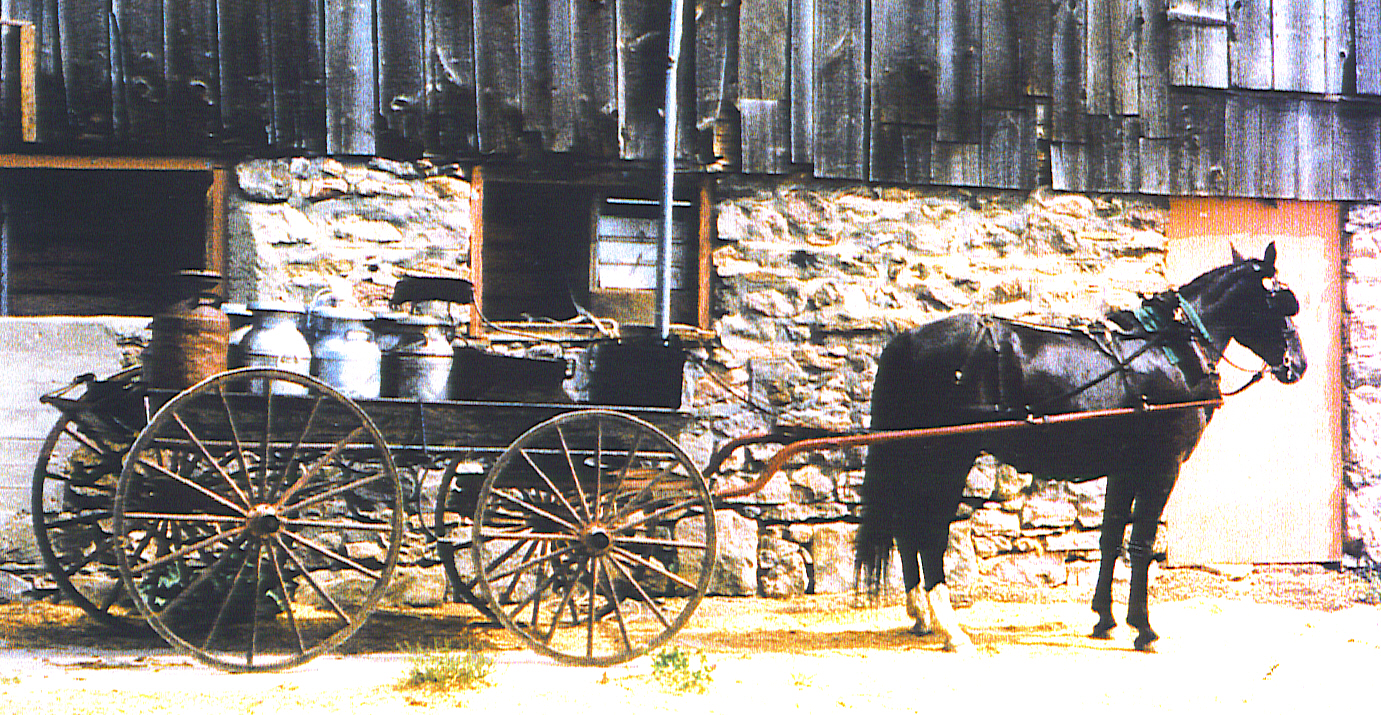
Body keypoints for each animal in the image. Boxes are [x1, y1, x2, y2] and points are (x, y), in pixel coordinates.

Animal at [861, 244, 1303, 654]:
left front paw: (1104, 619)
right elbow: (1140, 544)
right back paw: (951, 629)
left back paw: (921, 614)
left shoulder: (1125, 468)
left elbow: (1110, 538)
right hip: (948, 456)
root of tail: (907, 339)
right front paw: (1143, 629)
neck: (1173, 350)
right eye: (1281, 302)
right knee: (929, 532)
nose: (1297, 364)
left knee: (905, 527)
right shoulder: (1163, 465)